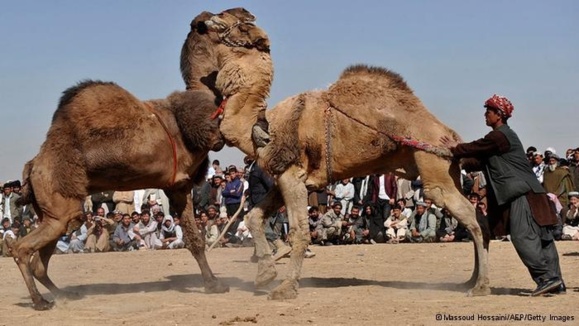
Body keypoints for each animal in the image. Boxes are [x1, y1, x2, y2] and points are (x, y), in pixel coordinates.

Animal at [11, 10, 270, 310]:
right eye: (226, 18)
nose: (250, 17)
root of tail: (32, 166)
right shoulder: (195, 158)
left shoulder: (176, 185)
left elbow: (194, 240)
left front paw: (213, 284)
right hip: (58, 204)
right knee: (21, 248)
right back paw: (40, 301)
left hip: (54, 212)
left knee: (43, 258)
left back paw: (64, 295)